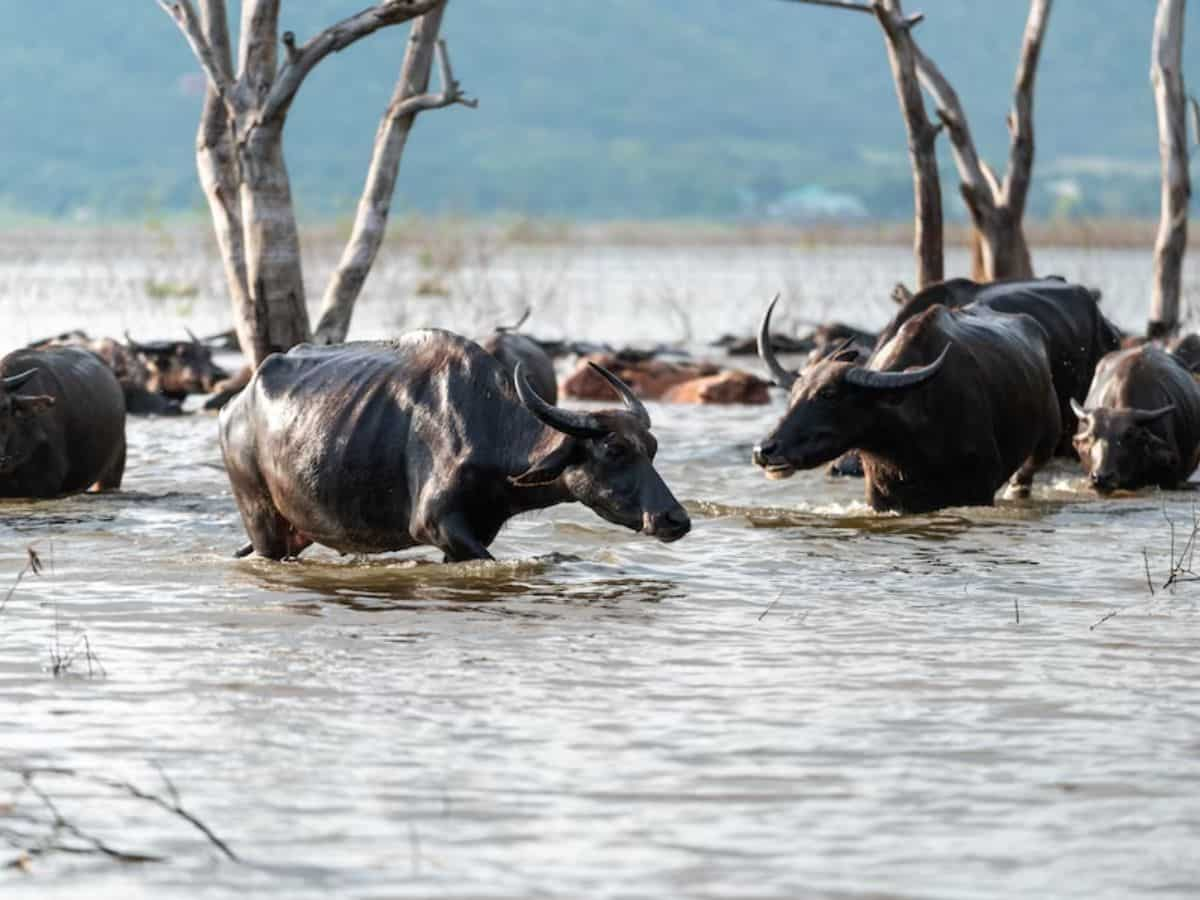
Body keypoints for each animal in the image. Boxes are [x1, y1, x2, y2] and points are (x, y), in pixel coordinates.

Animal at [220, 331, 691, 564]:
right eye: (614, 449)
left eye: (651, 448)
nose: (675, 518)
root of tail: (233, 407)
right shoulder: (437, 525)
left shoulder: (471, 532)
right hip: (263, 523)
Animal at [748, 297, 1060, 513]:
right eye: (793, 394)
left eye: (829, 394)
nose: (764, 450)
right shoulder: (882, 498)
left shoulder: (979, 491)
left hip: (1047, 440)